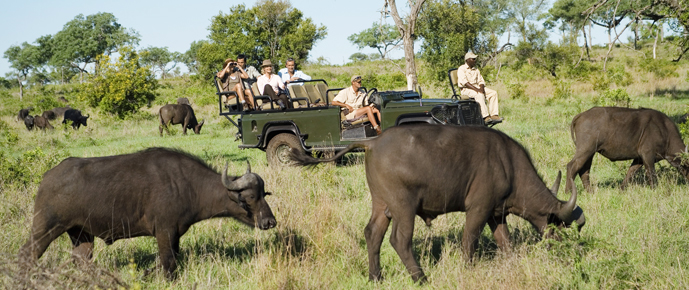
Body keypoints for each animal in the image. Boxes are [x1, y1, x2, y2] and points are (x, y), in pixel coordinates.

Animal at [288, 125, 584, 284]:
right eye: (561, 226)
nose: (569, 252)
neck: (508, 165)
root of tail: (372, 142)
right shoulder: (478, 210)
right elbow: (469, 240)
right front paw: (468, 268)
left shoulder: (495, 214)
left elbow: (506, 242)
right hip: (403, 207)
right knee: (399, 240)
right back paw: (420, 278)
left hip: (381, 205)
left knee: (372, 234)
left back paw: (376, 277)